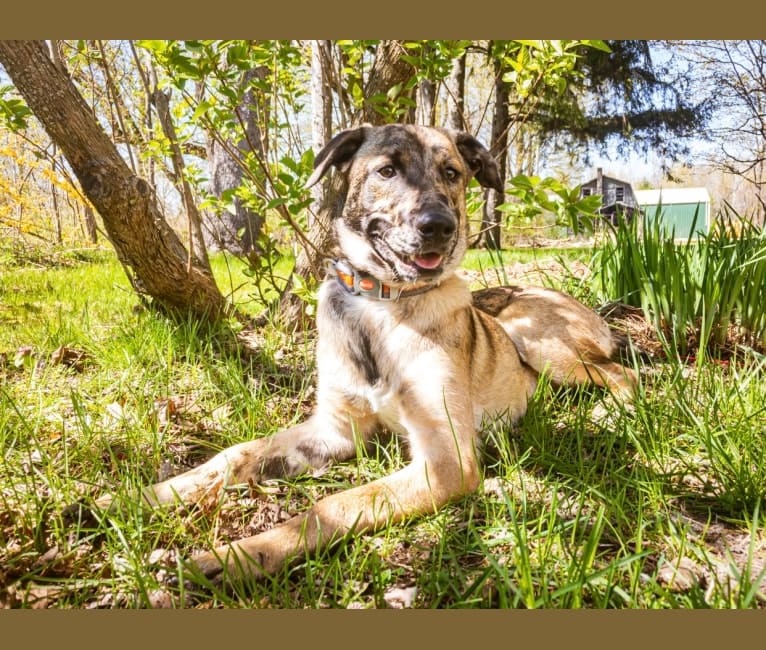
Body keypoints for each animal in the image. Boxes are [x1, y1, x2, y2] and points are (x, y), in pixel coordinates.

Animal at [94, 124, 636, 580]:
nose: (438, 225)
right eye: (386, 171)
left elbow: (331, 506)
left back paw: (609, 413)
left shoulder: (445, 459)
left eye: (452, 173)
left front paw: (241, 556)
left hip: (533, 338)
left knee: (622, 375)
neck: (382, 305)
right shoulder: (333, 429)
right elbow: (233, 455)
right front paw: (132, 497)